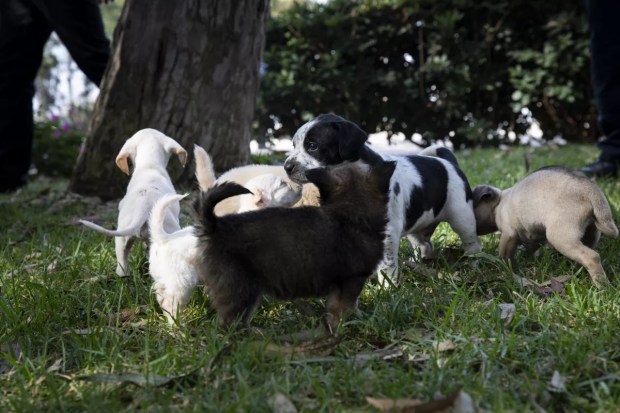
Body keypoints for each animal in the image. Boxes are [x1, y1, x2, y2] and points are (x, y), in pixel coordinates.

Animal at [191, 160, 394, 332]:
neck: (349, 212)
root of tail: (215, 226)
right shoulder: (351, 282)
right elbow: (345, 308)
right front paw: (348, 325)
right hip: (239, 287)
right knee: (228, 322)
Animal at [284, 112, 482, 284]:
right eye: (293, 145)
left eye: (313, 146)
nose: (287, 167)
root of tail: (449, 162)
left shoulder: (387, 233)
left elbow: (387, 265)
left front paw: (388, 287)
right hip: (418, 225)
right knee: (424, 245)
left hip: (461, 216)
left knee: (472, 241)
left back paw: (473, 261)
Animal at [472, 166, 616, 288]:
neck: (499, 202)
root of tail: (590, 190)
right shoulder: (532, 237)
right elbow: (531, 247)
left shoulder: (508, 235)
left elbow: (504, 255)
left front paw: (506, 268)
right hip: (591, 233)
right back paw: (578, 270)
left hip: (560, 238)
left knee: (592, 257)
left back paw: (602, 285)